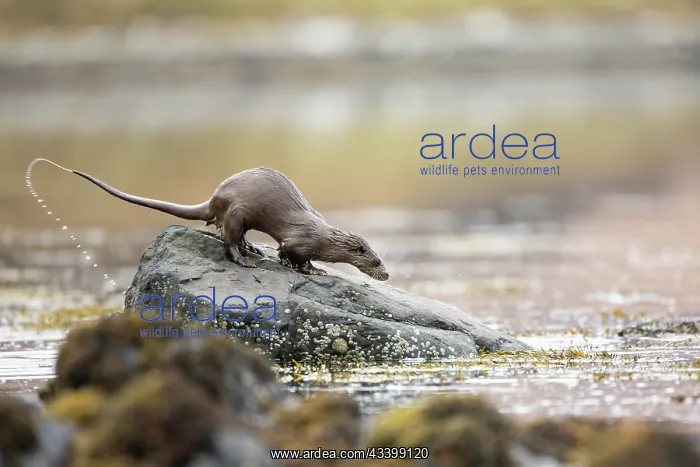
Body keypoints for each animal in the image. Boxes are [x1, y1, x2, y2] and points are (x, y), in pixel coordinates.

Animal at [27, 159, 389, 281]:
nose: (386, 274)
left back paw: (253, 249)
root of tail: (215, 197)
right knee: (227, 241)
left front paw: (316, 267)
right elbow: (291, 254)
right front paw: (313, 269)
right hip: (237, 212)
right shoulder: (298, 240)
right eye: (376, 260)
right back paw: (246, 260)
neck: (324, 235)